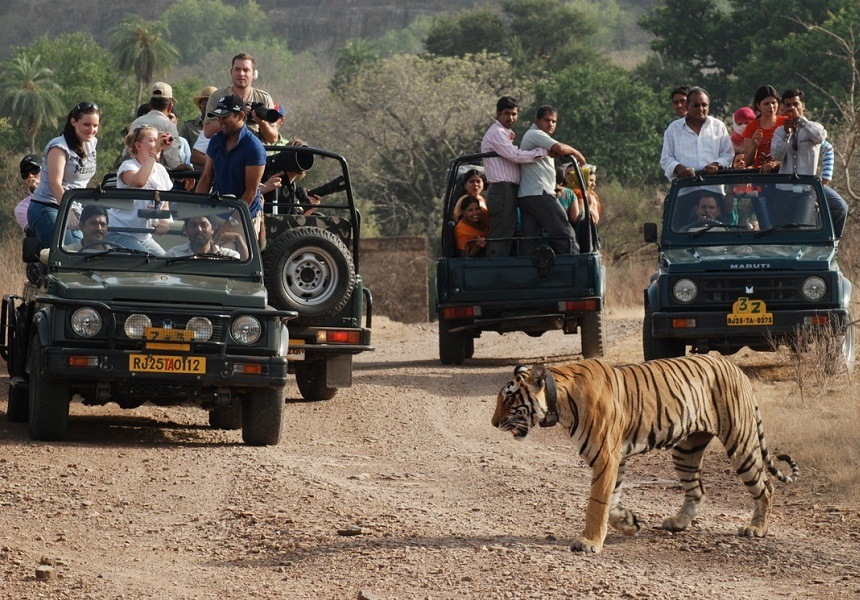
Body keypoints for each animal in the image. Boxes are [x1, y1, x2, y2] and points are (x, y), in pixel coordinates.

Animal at [490, 354, 800, 556]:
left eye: (509, 398)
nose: (493, 423)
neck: (559, 403)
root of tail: (734, 366)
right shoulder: (615, 459)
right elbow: (611, 501)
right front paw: (629, 524)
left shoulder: (606, 457)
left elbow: (597, 502)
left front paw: (589, 542)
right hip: (686, 449)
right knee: (697, 490)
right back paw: (678, 523)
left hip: (740, 442)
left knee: (765, 486)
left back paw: (756, 528)